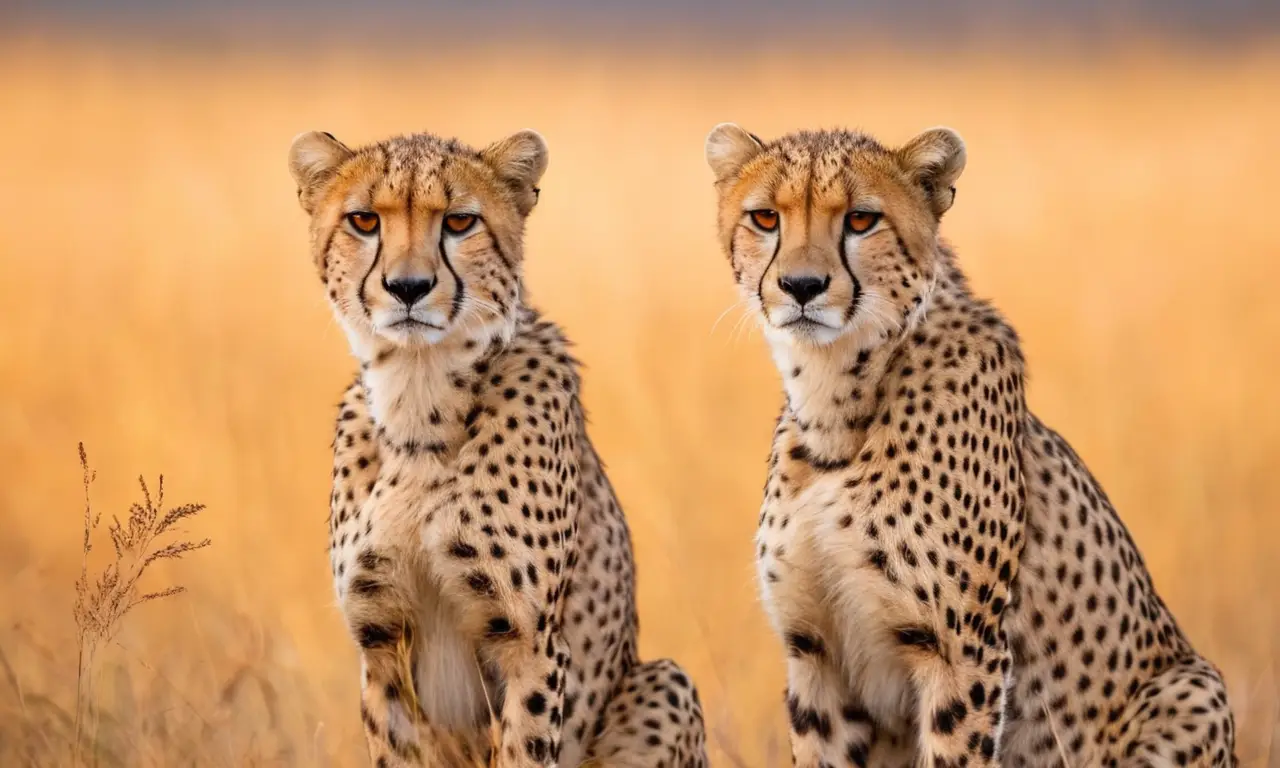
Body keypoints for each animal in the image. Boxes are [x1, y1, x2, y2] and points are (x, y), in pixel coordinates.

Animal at [289, 128, 707, 768]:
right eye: (363, 220)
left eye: (460, 222)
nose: (407, 288)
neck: (420, 402)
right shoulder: (381, 646)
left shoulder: (529, 641)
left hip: (664, 680)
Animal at [703, 122, 1236, 767]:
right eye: (765, 218)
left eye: (861, 220)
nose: (801, 286)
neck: (838, 404)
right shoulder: (813, 651)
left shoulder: (961, 650)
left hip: (1192, 687)